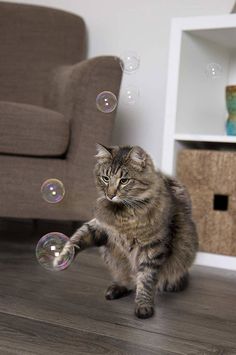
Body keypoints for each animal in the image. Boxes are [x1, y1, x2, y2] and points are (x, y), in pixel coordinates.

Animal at [56, 145, 198, 320]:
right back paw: (115, 289)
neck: (124, 214)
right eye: (105, 178)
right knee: (127, 280)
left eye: (124, 181)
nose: (110, 195)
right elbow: (76, 238)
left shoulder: (153, 249)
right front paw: (60, 259)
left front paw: (143, 306)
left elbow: (146, 280)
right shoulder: (100, 228)